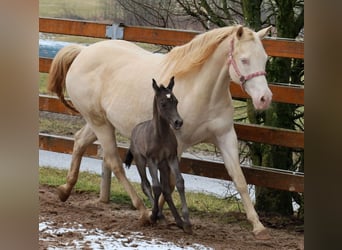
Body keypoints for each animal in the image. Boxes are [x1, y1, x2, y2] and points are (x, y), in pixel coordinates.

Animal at [124, 77, 192, 233]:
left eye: (176, 101)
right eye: (163, 103)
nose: (178, 122)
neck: (161, 136)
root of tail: (135, 130)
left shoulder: (171, 158)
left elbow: (179, 182)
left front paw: (187, 222)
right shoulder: (152, 160)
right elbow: (156, 187)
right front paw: (154, 215)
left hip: (163, 166)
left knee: (166, 189)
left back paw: (178, 221)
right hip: (141, 161)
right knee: (146, 185)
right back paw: (158, 216)